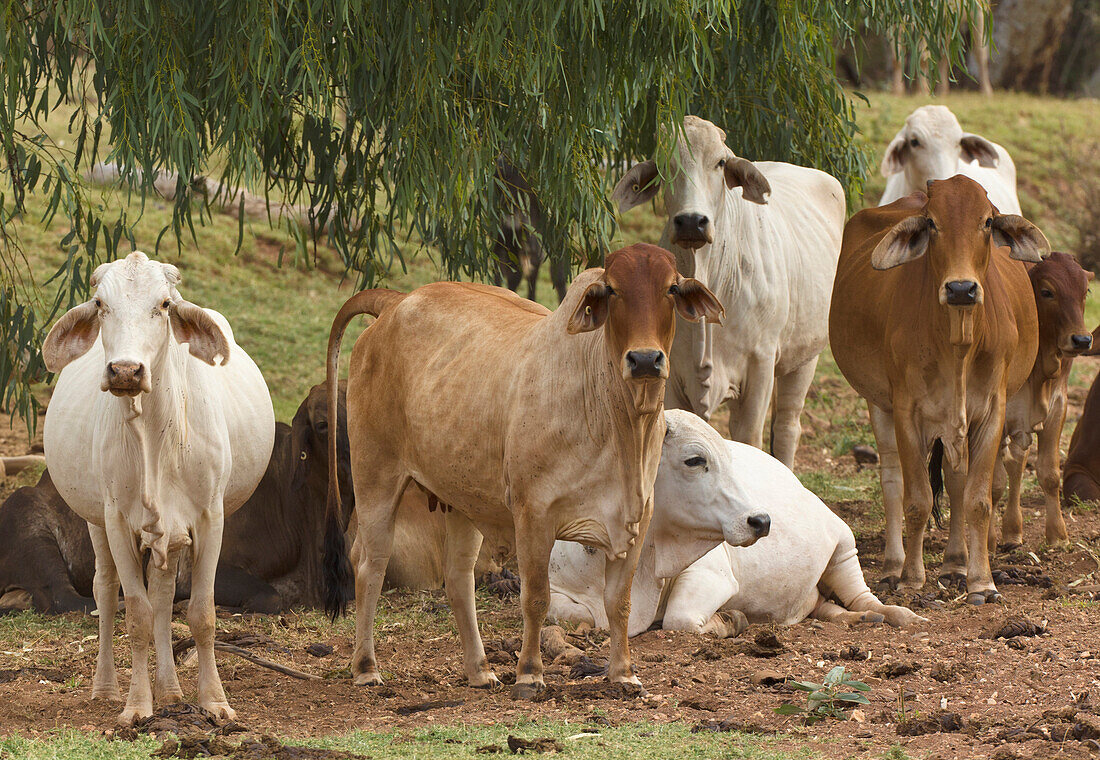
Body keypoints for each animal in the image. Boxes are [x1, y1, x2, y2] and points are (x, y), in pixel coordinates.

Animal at [42, 254, 275, 725]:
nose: (125, 371)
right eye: (100, 304)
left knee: (165, 596)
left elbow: (200, 613)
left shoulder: (209, 518)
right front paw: (136, 705)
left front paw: (214, 701)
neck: (155, 432)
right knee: (105, 590)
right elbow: (136, 614)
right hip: (96, 521)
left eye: (164, 304)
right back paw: (107, 688)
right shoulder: (116, 519)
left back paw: (170, 690)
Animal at [321, 246, 726, 699]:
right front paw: (530, 673)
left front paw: (623, 673)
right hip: (376, 477)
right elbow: (536, 598)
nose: (644, 359)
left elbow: (617, 603)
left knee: (458, 578)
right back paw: (366, 667)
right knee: (369, 564)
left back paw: (479, 670)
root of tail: (394, 303)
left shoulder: (636, 519)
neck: (619, 420)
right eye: (612, 290)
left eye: (671, 288)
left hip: (462, 500)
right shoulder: (534, 516)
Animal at [547, 411, 919, 637]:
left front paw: (730, 619)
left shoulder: (710, 574)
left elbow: (680, 619)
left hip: (843, 543)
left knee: (862, 596)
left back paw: (895, 614)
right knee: (825, 607)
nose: (761, 521)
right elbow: (575, 615)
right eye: (694, 460)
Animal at [611, 116, 840, 470]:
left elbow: (750, 439)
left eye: (720, 162)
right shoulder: (670, 374)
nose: (692, 221)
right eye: (664, 163)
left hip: (803, 359)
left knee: (787, 427)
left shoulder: (760, 366)